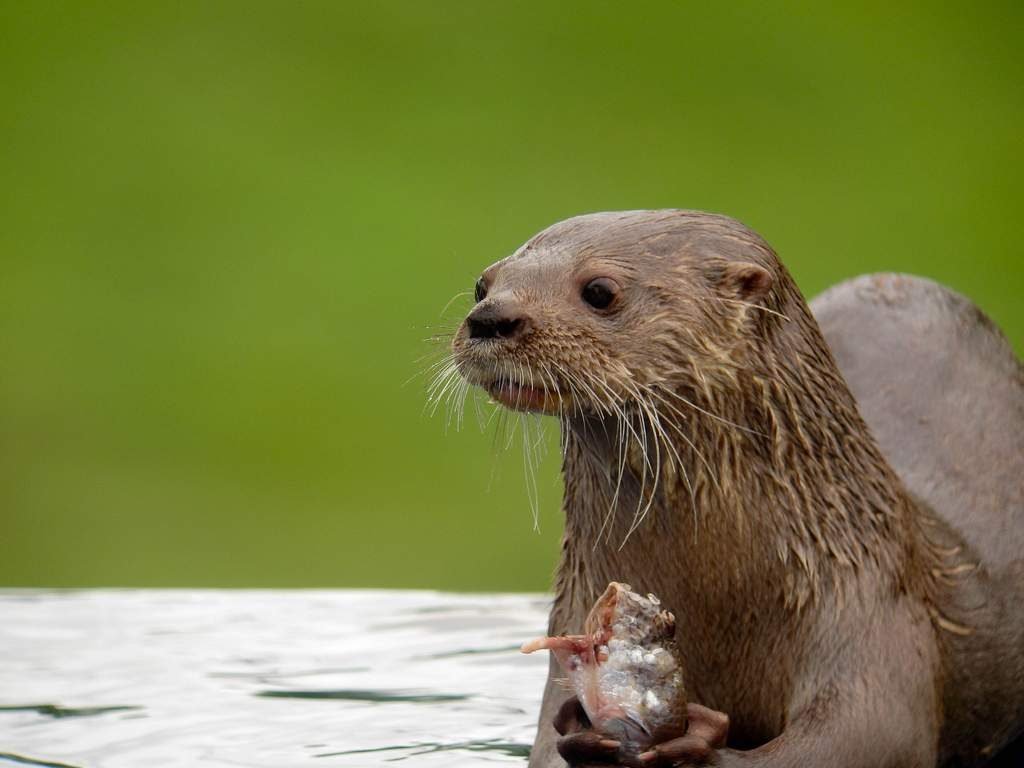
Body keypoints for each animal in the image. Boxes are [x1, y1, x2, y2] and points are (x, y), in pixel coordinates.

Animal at [450, 211, 1024, 768]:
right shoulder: (573, 607)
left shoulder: (868, 609)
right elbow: (547, 749)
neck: (720, 587)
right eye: (482, 284)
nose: (489, 318)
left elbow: (860, 737)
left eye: (599, 290)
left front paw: (696, 742)